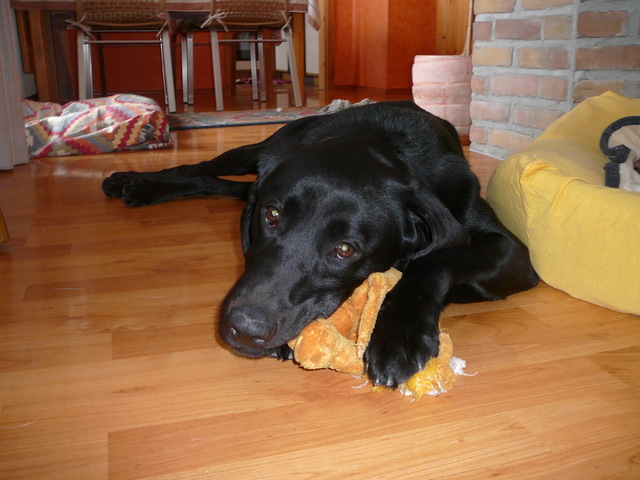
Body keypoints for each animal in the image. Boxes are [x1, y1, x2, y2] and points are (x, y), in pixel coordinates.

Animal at [102, 101, 536, 386]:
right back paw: (135, 183)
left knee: (219, 183)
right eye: (271, 215)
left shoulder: (513, 253)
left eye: (345, 250)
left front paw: (400, 335)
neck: (385, 143)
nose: (244, 329)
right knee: (200, 168)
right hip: (260, 150)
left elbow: (434, 260)